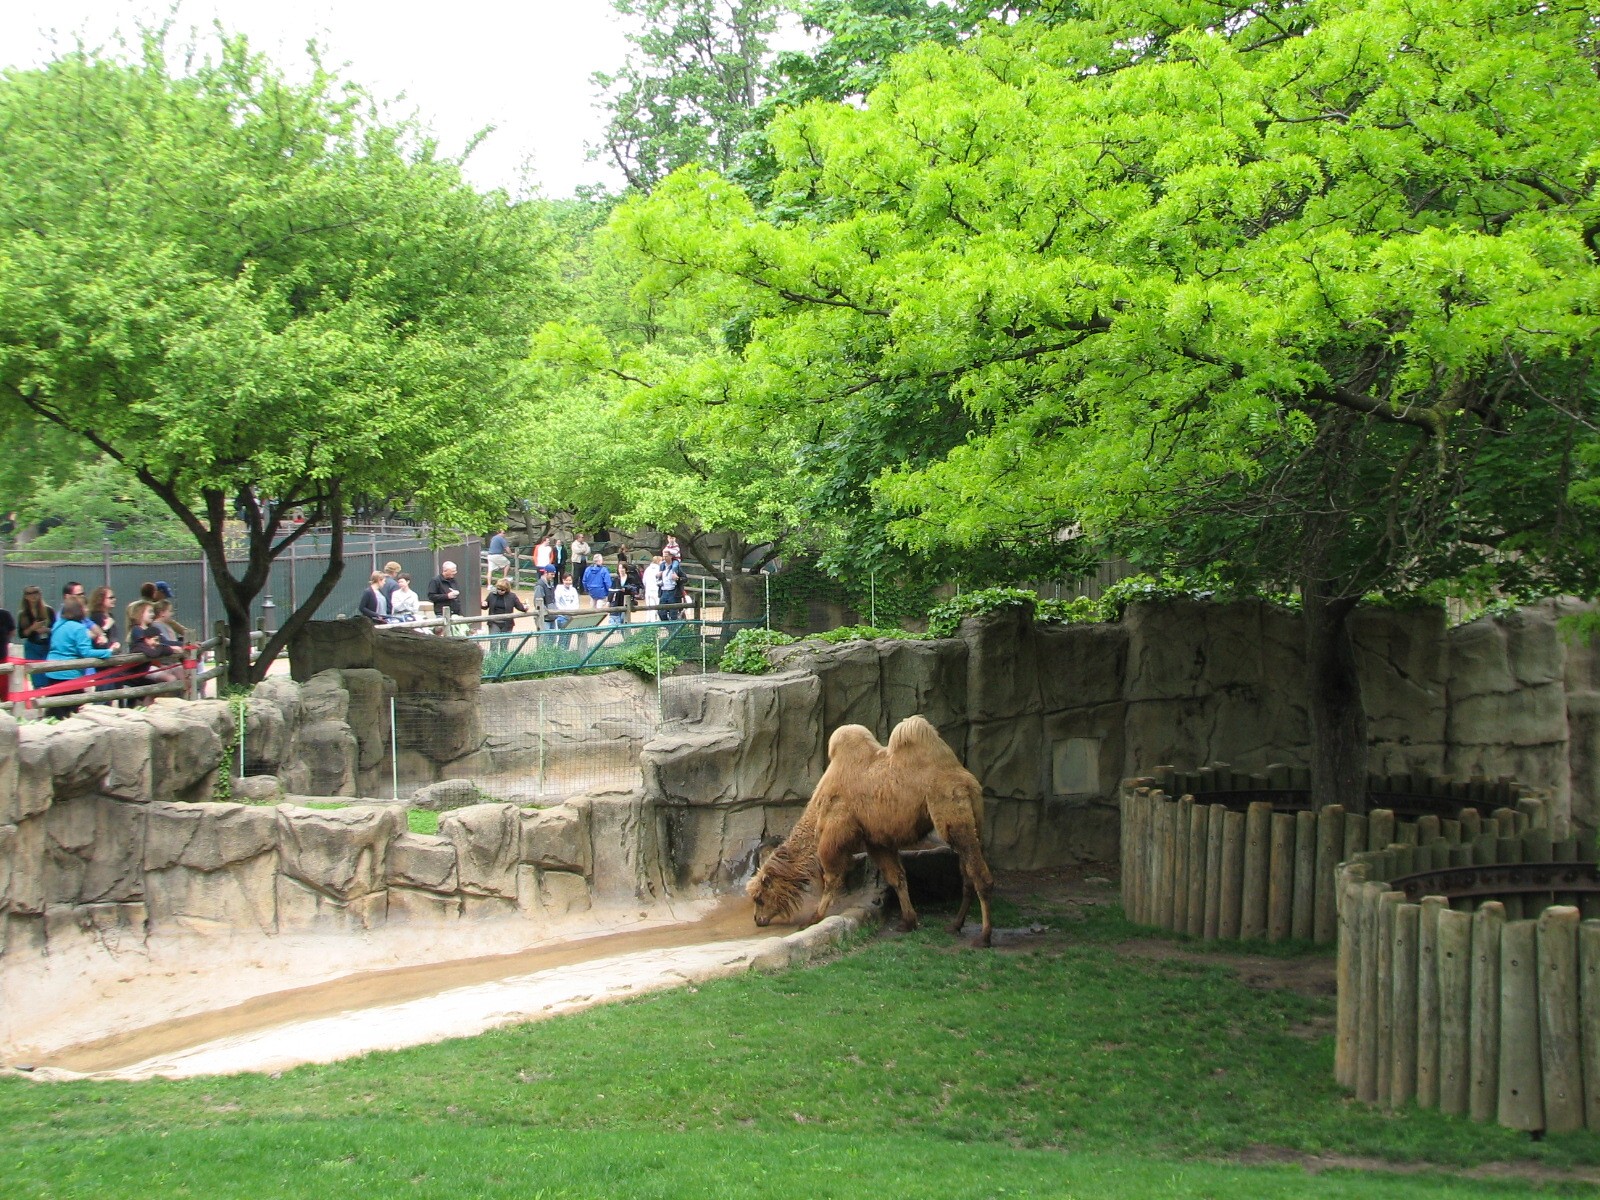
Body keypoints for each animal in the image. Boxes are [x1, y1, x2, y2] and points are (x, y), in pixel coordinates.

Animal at [745, 714, 995, 947]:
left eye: (759, 897)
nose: (758, 919)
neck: (818, 808)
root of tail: (967, 780)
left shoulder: (836, 829)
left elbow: (831, 877)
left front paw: (813, 918)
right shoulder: (877, 839)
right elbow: (897, 877)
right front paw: (908, 921)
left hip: (948, 805)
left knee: (978, 873)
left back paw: (983, 936)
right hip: (973, 816)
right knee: (967, 872)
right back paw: (955, 925)